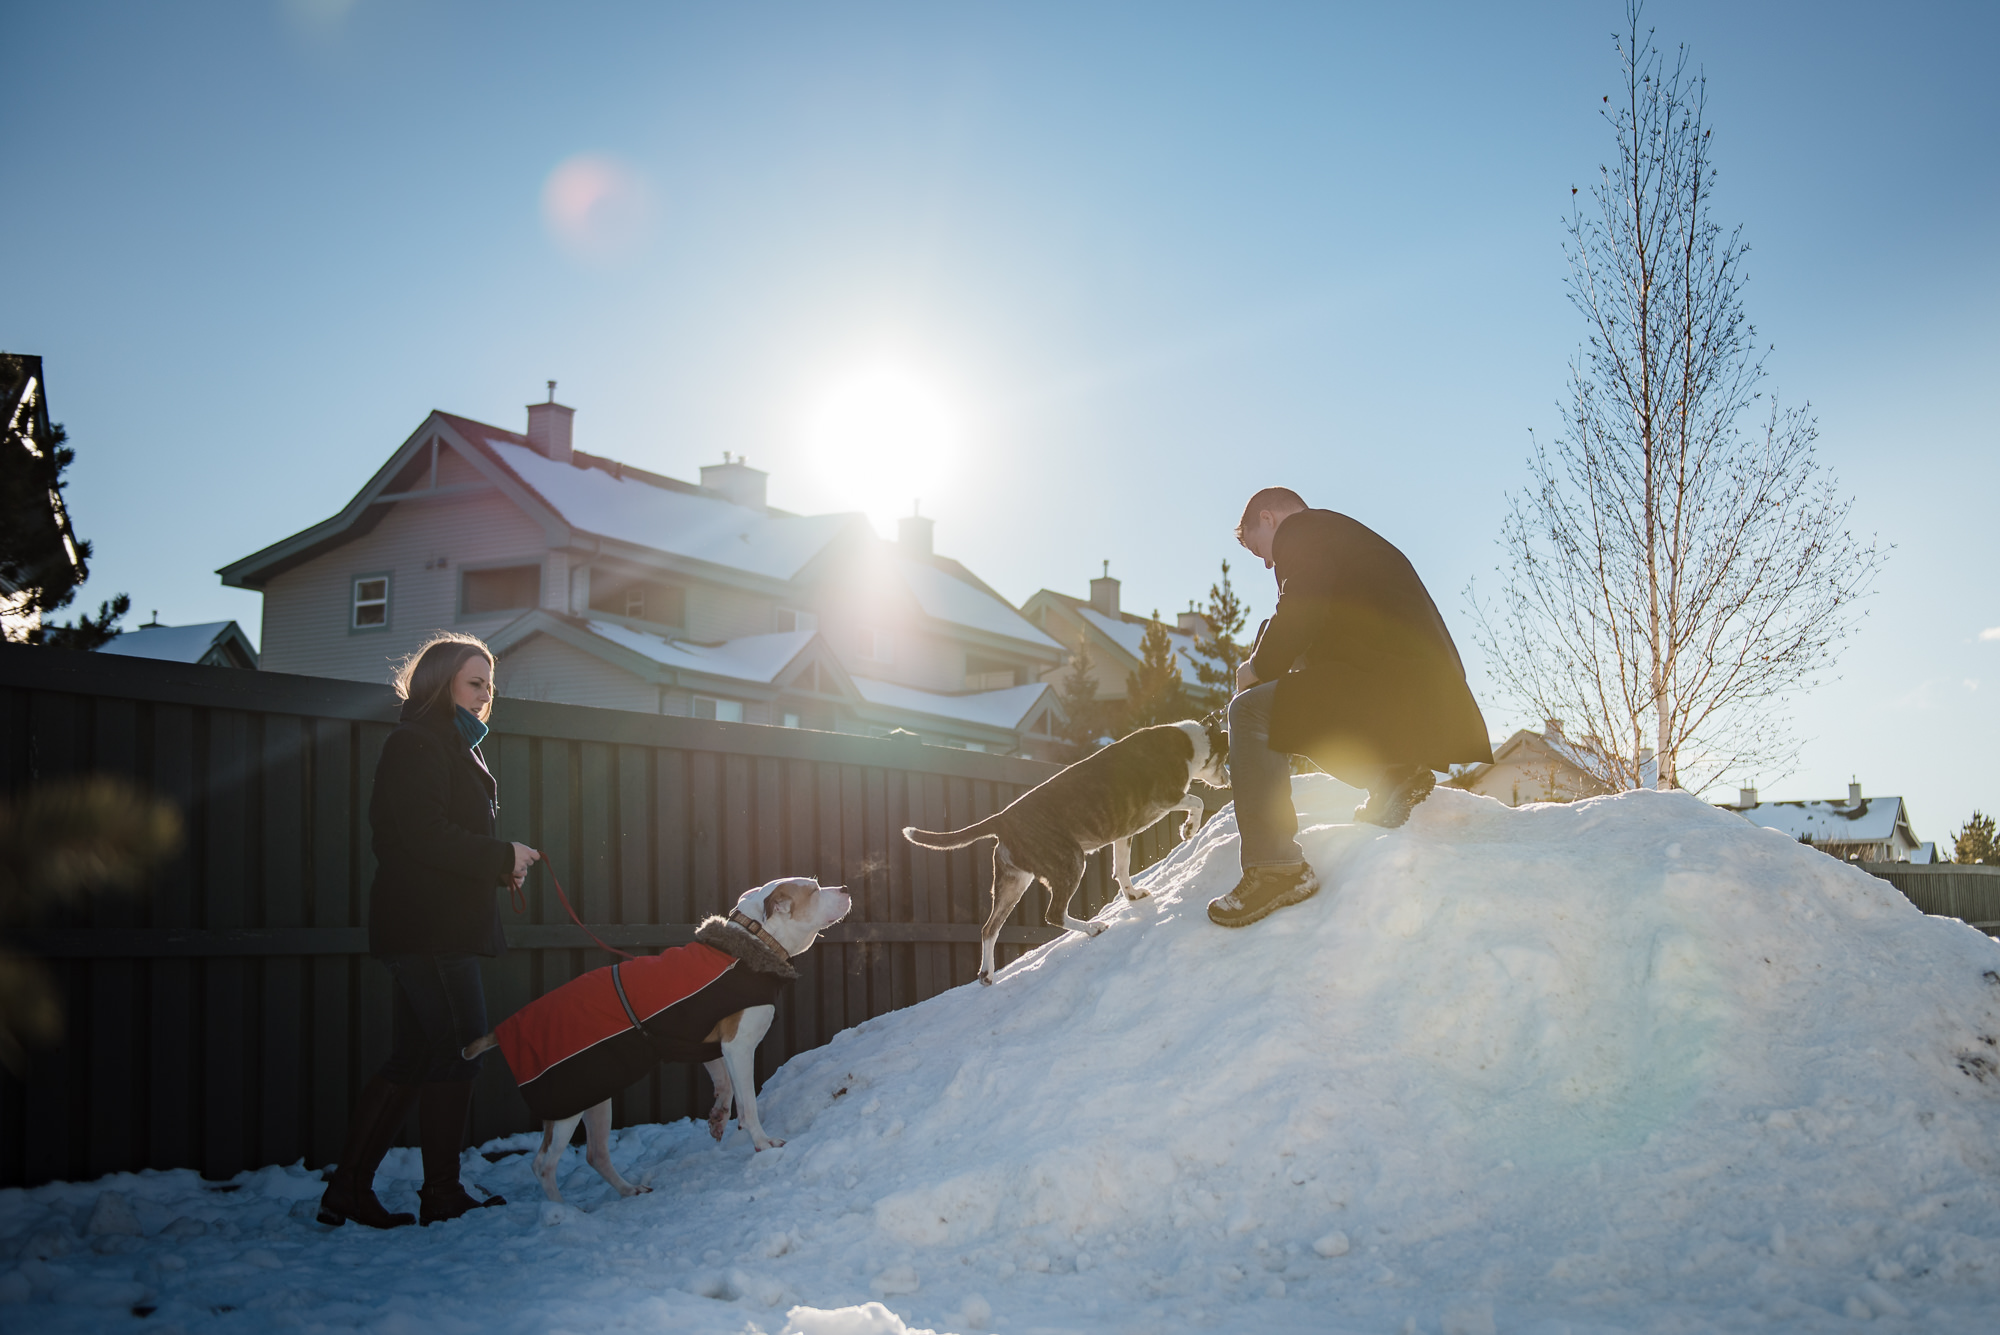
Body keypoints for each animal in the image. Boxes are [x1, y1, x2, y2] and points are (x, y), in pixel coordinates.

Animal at [464, 879, 848, 1207]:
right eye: (814, 889)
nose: (844, 888)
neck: (756, 941)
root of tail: (506, 1029)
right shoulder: (738, 1046)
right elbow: (748, 1103)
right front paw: (762, 1142)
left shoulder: (706, 1044)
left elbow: (724, 1084)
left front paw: (718, 1117)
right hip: (565, 1104)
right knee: (543, 1164)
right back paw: (563, 1214)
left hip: (595, 1095)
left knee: (596, 1153)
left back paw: (628, 1190)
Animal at [904, 715, 1216, 987]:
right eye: (1223, 758)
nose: (1225, 778)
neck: (1191, 740)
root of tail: (1002, 819)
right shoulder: (1167, 797)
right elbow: (1197, 801)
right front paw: (1190, 829)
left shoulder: (1124, 833)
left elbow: (1122, 868)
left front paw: (1133, 895)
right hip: (1070, 861)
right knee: (1053, 914)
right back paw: (1093, 928)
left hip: (1012, 882)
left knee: (989, 928)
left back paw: (987, 974)